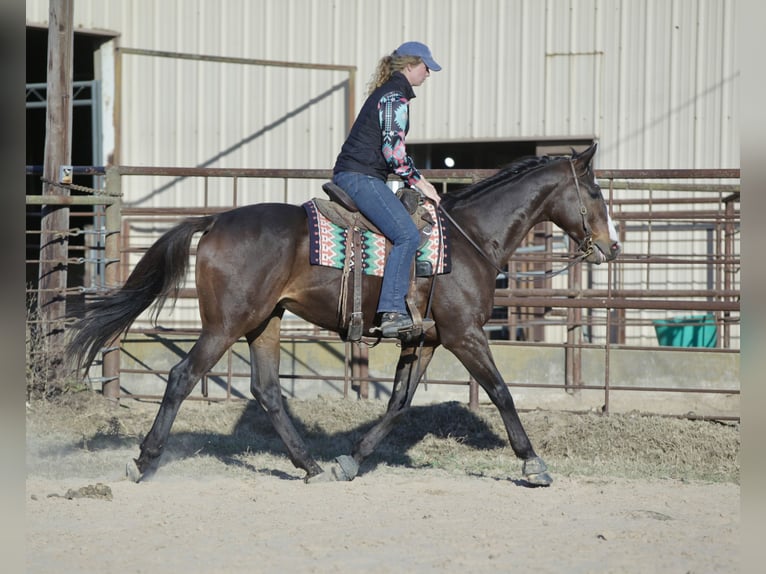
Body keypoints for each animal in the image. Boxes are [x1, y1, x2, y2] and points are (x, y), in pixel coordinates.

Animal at [67, 142, 620, 486]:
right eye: (595, 192)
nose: (613, 246)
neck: (468, 241)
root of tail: (217, 220)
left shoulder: (424, 340)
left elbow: (398, 404)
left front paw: (349, 462)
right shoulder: (466, 335)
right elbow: (502, 392)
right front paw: (533, 464)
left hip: (264, 323)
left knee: (267, 391)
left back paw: (309, 465)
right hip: (225, 325)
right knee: (183, 376)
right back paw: (143, 462)